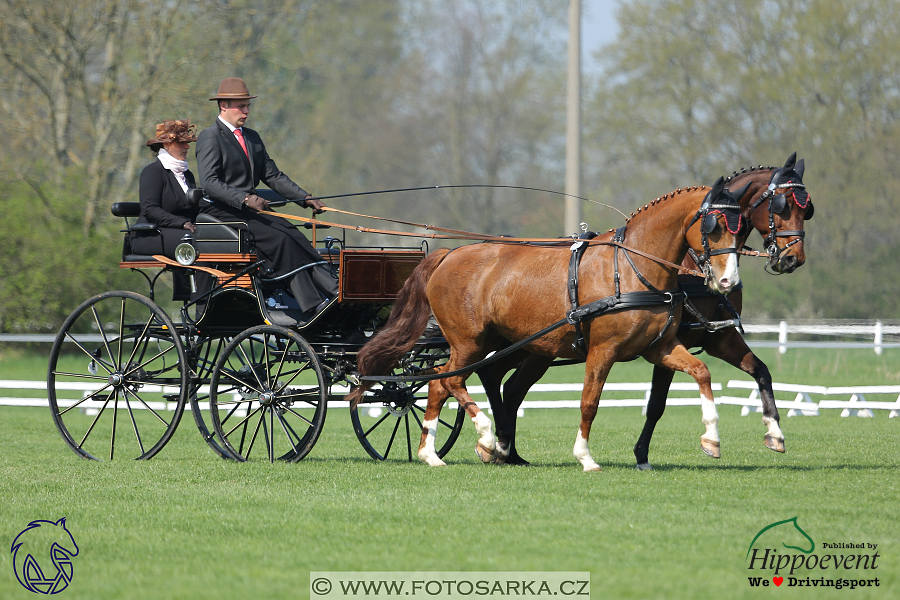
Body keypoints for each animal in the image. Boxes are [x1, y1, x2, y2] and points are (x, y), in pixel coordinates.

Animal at [348, 176, 748, 472]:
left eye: (741, 228)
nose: (728, 281)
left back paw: (432, 453)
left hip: (492, 344)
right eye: (714, 226)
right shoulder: (603, 350)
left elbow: (701, 373)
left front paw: (711, 439)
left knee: (440, 383)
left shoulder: (659, 348)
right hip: (470, 342)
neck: (632, 270)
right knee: (451, 380)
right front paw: (585, 457)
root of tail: (449, 255)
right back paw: (487, 438)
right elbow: (589, 401)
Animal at [478, 151, 816, 468]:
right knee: (493, 376)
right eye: (781, 206)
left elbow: (761, 371)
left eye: (806, 209)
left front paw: (774, 433)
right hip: (528, 346)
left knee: (506, 384)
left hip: (536, 348)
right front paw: (642, 454)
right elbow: (656, 405)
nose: (792, 259)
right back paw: (500, 443)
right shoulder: (669, 343)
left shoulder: (718, 339)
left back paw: (509, 449)